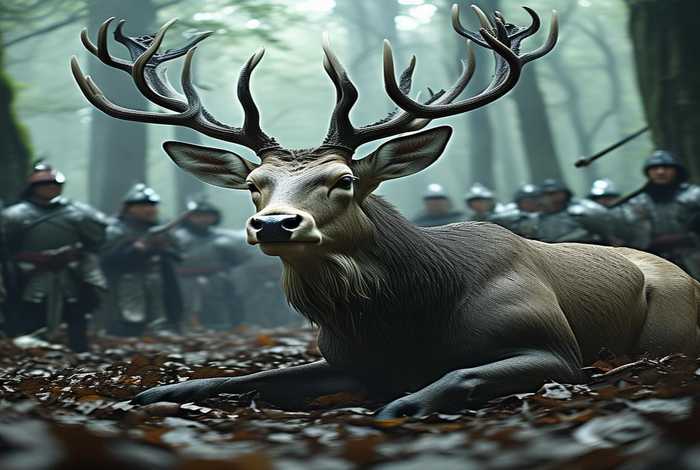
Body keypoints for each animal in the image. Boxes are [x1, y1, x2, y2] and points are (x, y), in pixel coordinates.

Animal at [71, 4, 700, 419]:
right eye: (253, 184)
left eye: (344, 180)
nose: (274, 223)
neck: (405, 318)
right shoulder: (344, 357)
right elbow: (242, 377)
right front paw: (149, 393)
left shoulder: (553, 346)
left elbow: (452, 377)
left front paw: (395, 407)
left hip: (669, 324)